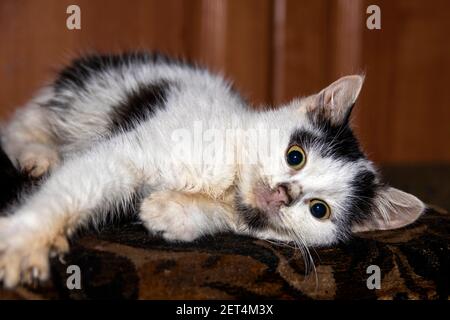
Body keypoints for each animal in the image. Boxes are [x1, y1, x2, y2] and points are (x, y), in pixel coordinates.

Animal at [0, 52, 424, 288]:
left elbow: (219, 219)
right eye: (295, 156)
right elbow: (80, 184)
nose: (284, 193)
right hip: (82, 100)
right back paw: (38, 155)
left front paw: (169, 212)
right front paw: (25, 242)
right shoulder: (132, 150)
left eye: (319, 209)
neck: (229, 181)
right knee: (19, 126)